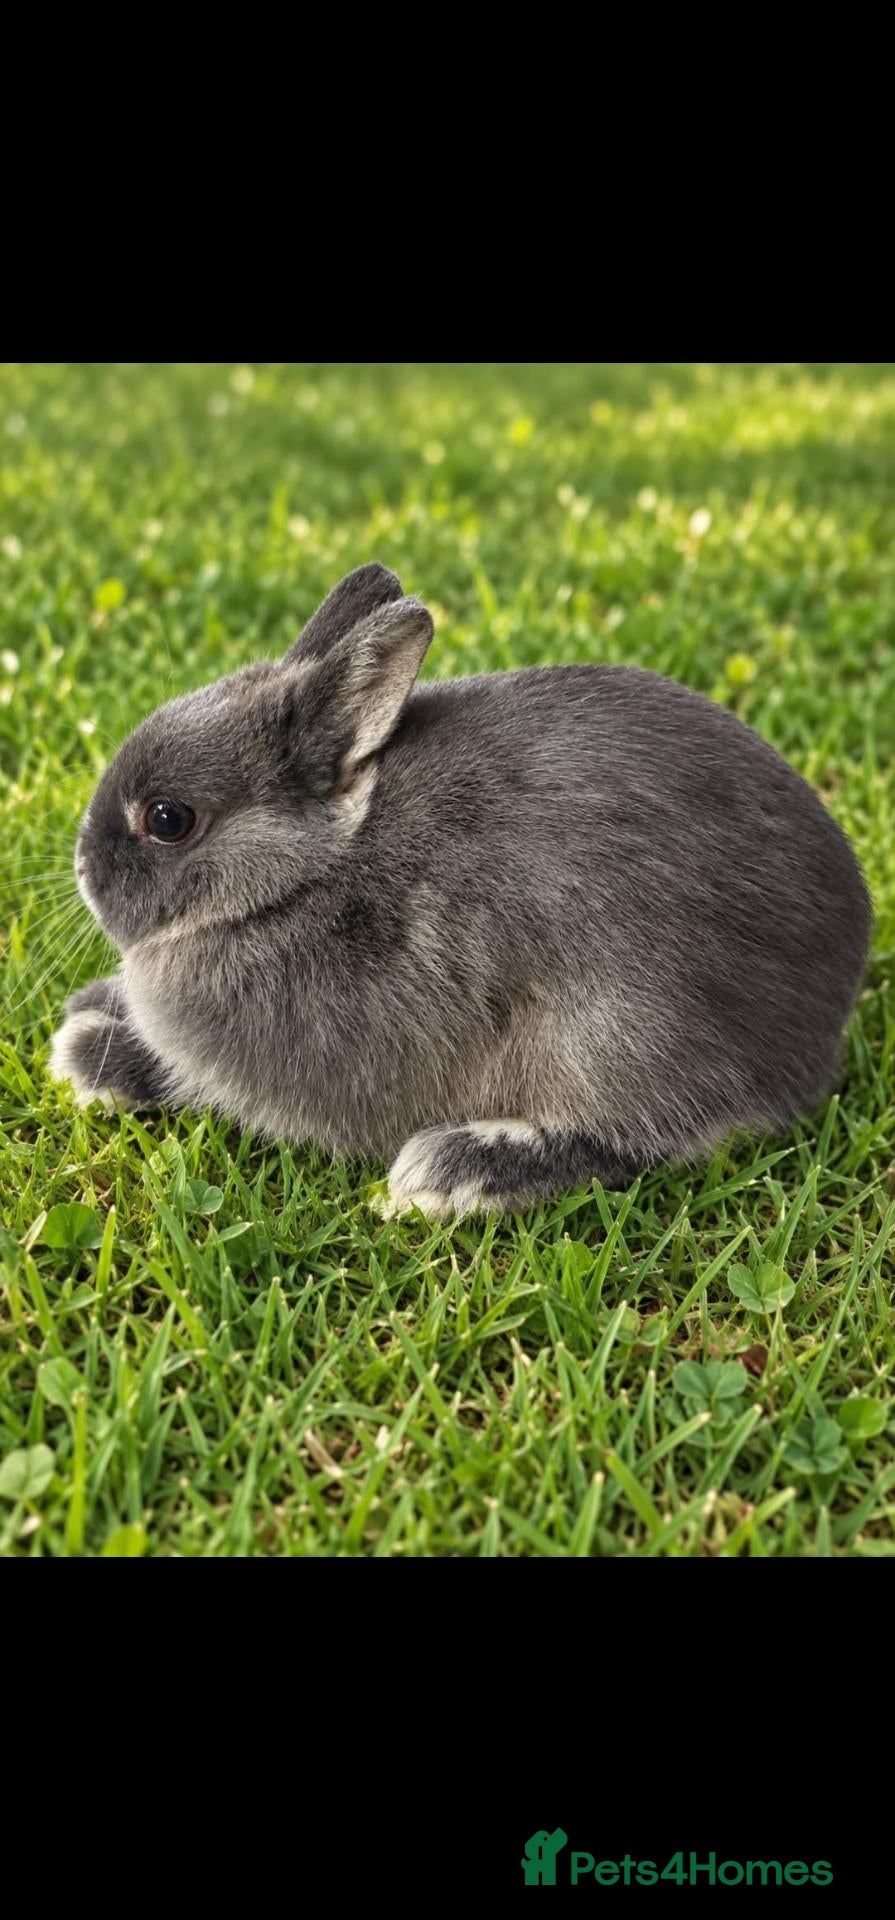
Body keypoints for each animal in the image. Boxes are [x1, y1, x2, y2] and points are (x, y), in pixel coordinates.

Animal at [49, 561, 872, 1217]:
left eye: (169, 820)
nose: (85, 871)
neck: (306, 875)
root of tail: (823, 1017)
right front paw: (91, 1017)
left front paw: (91, 1051)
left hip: (613, 1033)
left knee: (638, 1137)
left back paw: (454, 1170)